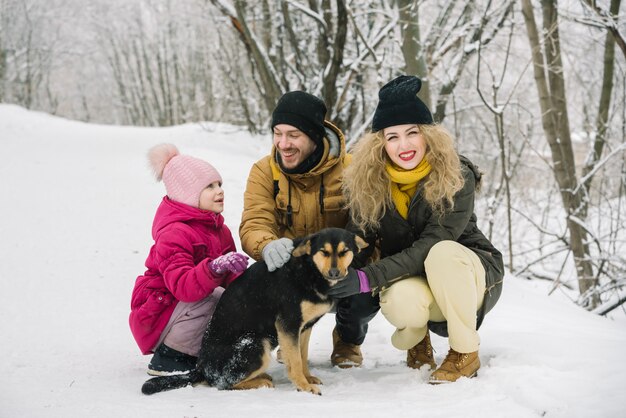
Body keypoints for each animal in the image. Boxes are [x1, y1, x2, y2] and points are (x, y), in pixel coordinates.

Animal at [141, 229, 366, 396]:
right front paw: (303, 386)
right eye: (324, 252)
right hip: (256, 344)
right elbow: (294, 360)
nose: (335, 273)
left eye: (344, 252)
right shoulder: (288, 325)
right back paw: (261, 382)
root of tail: (201, 369)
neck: (310, 269)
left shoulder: (303, 328)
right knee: (224, 383)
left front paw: (307, 377)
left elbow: (301, 356)